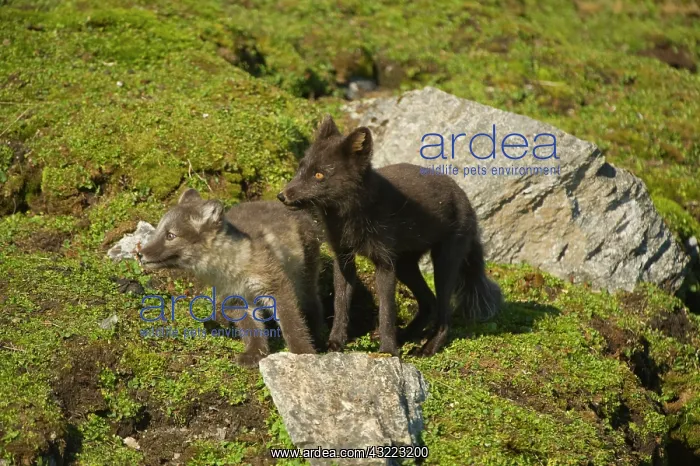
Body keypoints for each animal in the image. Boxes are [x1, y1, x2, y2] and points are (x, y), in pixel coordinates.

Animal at [138, 188, 326, 367]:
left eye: (171, 235)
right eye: (158, 231)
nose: (139, 253)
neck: (231, 269)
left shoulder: (275, 285)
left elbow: (292, 325)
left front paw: (303, 353)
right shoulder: (235, 298)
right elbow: (251, 328)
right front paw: (254, 354)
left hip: (305, 275)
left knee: (312, 303)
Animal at [277, 116, 502, 357]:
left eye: (319, 175)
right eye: (300, 168)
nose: (282, 196)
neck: (350, 216)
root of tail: (466, 199)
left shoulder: (384, 263)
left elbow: (387, 310)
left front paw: (387, 351)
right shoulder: (344, 257)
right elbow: (340, 304)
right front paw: (335, 344)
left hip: (443, 263)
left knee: (445, 314)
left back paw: (427, 348)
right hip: (405, 265)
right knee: (429, 303)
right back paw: (404, 337)